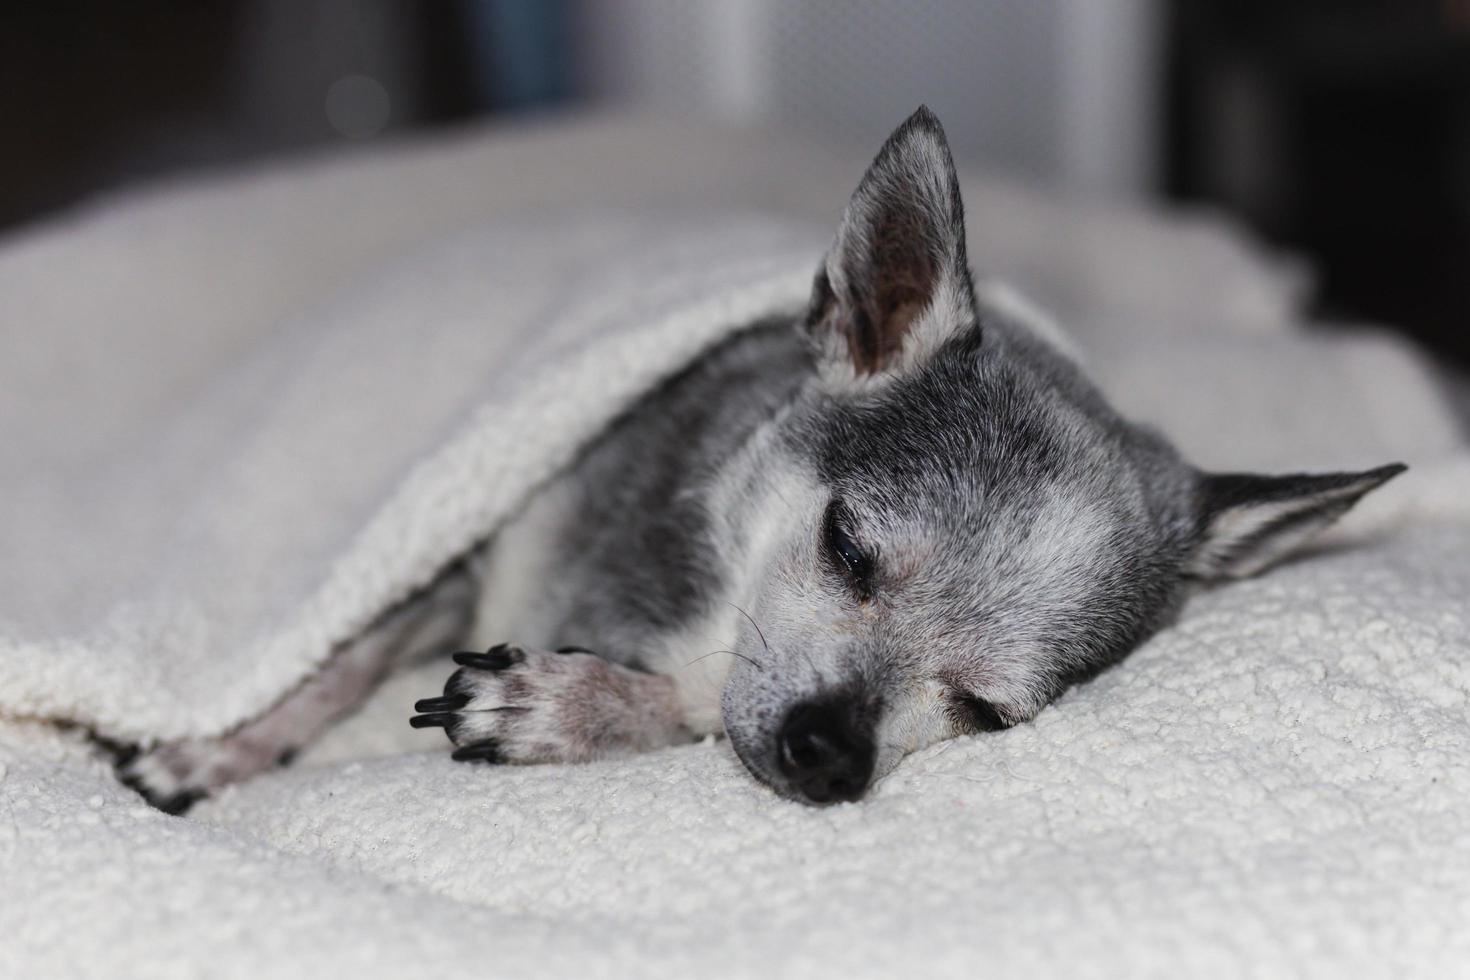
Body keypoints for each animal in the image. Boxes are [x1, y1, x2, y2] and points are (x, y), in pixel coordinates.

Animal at [117, 109, 1399, 811]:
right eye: (848, 547)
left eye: (987, 710)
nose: (831, 749)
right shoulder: (466, 533)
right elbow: (329, 667)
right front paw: (213, 749)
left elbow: (695, 706)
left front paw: (571, 703)